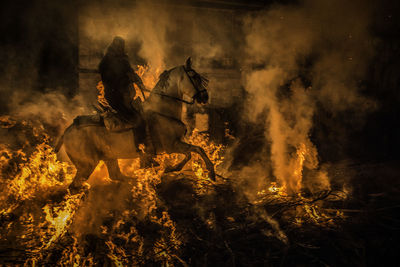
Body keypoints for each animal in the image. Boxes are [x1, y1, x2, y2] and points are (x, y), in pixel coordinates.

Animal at [56, 57, 216, 194]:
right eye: (195, 77)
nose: (205, 96)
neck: (162, 110)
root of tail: (66, 132)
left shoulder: (177, 143)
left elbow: (193, 152)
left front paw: (175, 168)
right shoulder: (172, 145)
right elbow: (195, 151)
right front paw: (209, 172)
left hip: (108, 158)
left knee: (116, 175)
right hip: (87, 165)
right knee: (74, 187)